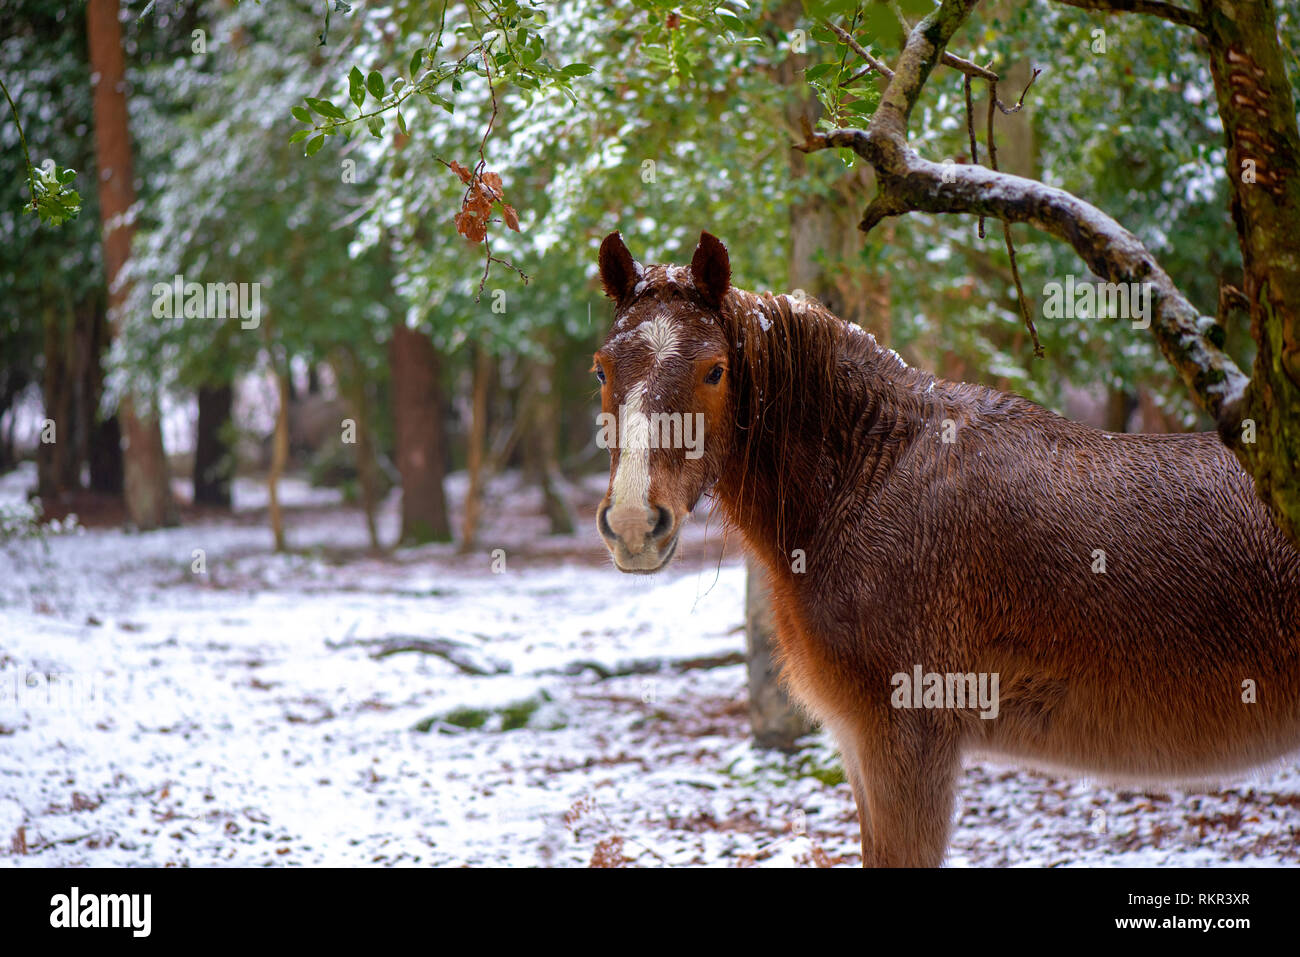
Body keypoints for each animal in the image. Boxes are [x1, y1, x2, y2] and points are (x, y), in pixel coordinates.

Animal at [595, 230, 1300, 868]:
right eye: (602, 369)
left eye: (715, 371)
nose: (633, 523)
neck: (870, 477)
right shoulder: (861, 747)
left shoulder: (908, 744)